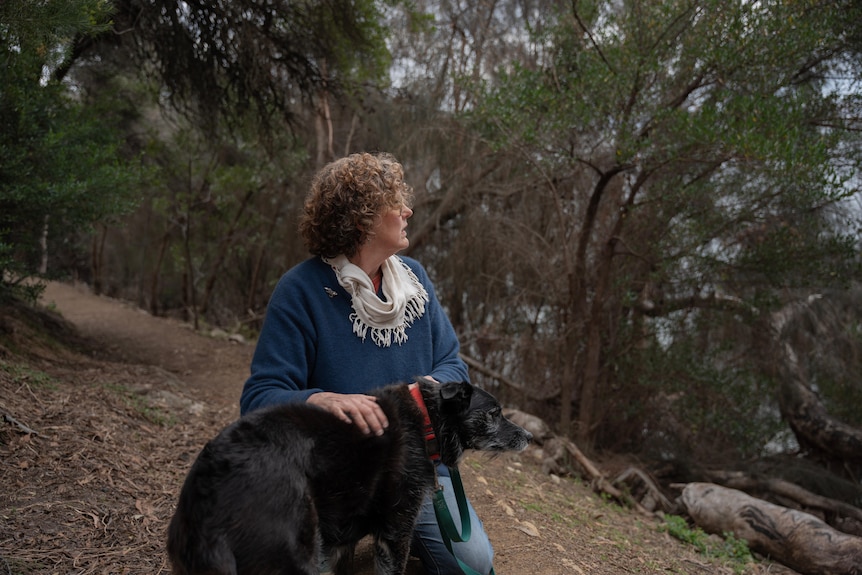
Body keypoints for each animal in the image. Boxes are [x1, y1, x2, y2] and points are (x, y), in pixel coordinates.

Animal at [167, 378, 532, 575]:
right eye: (494, 414)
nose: (529, 436)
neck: (427, 421)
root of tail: (210, 483)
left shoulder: (342, 535)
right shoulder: (396, 531)